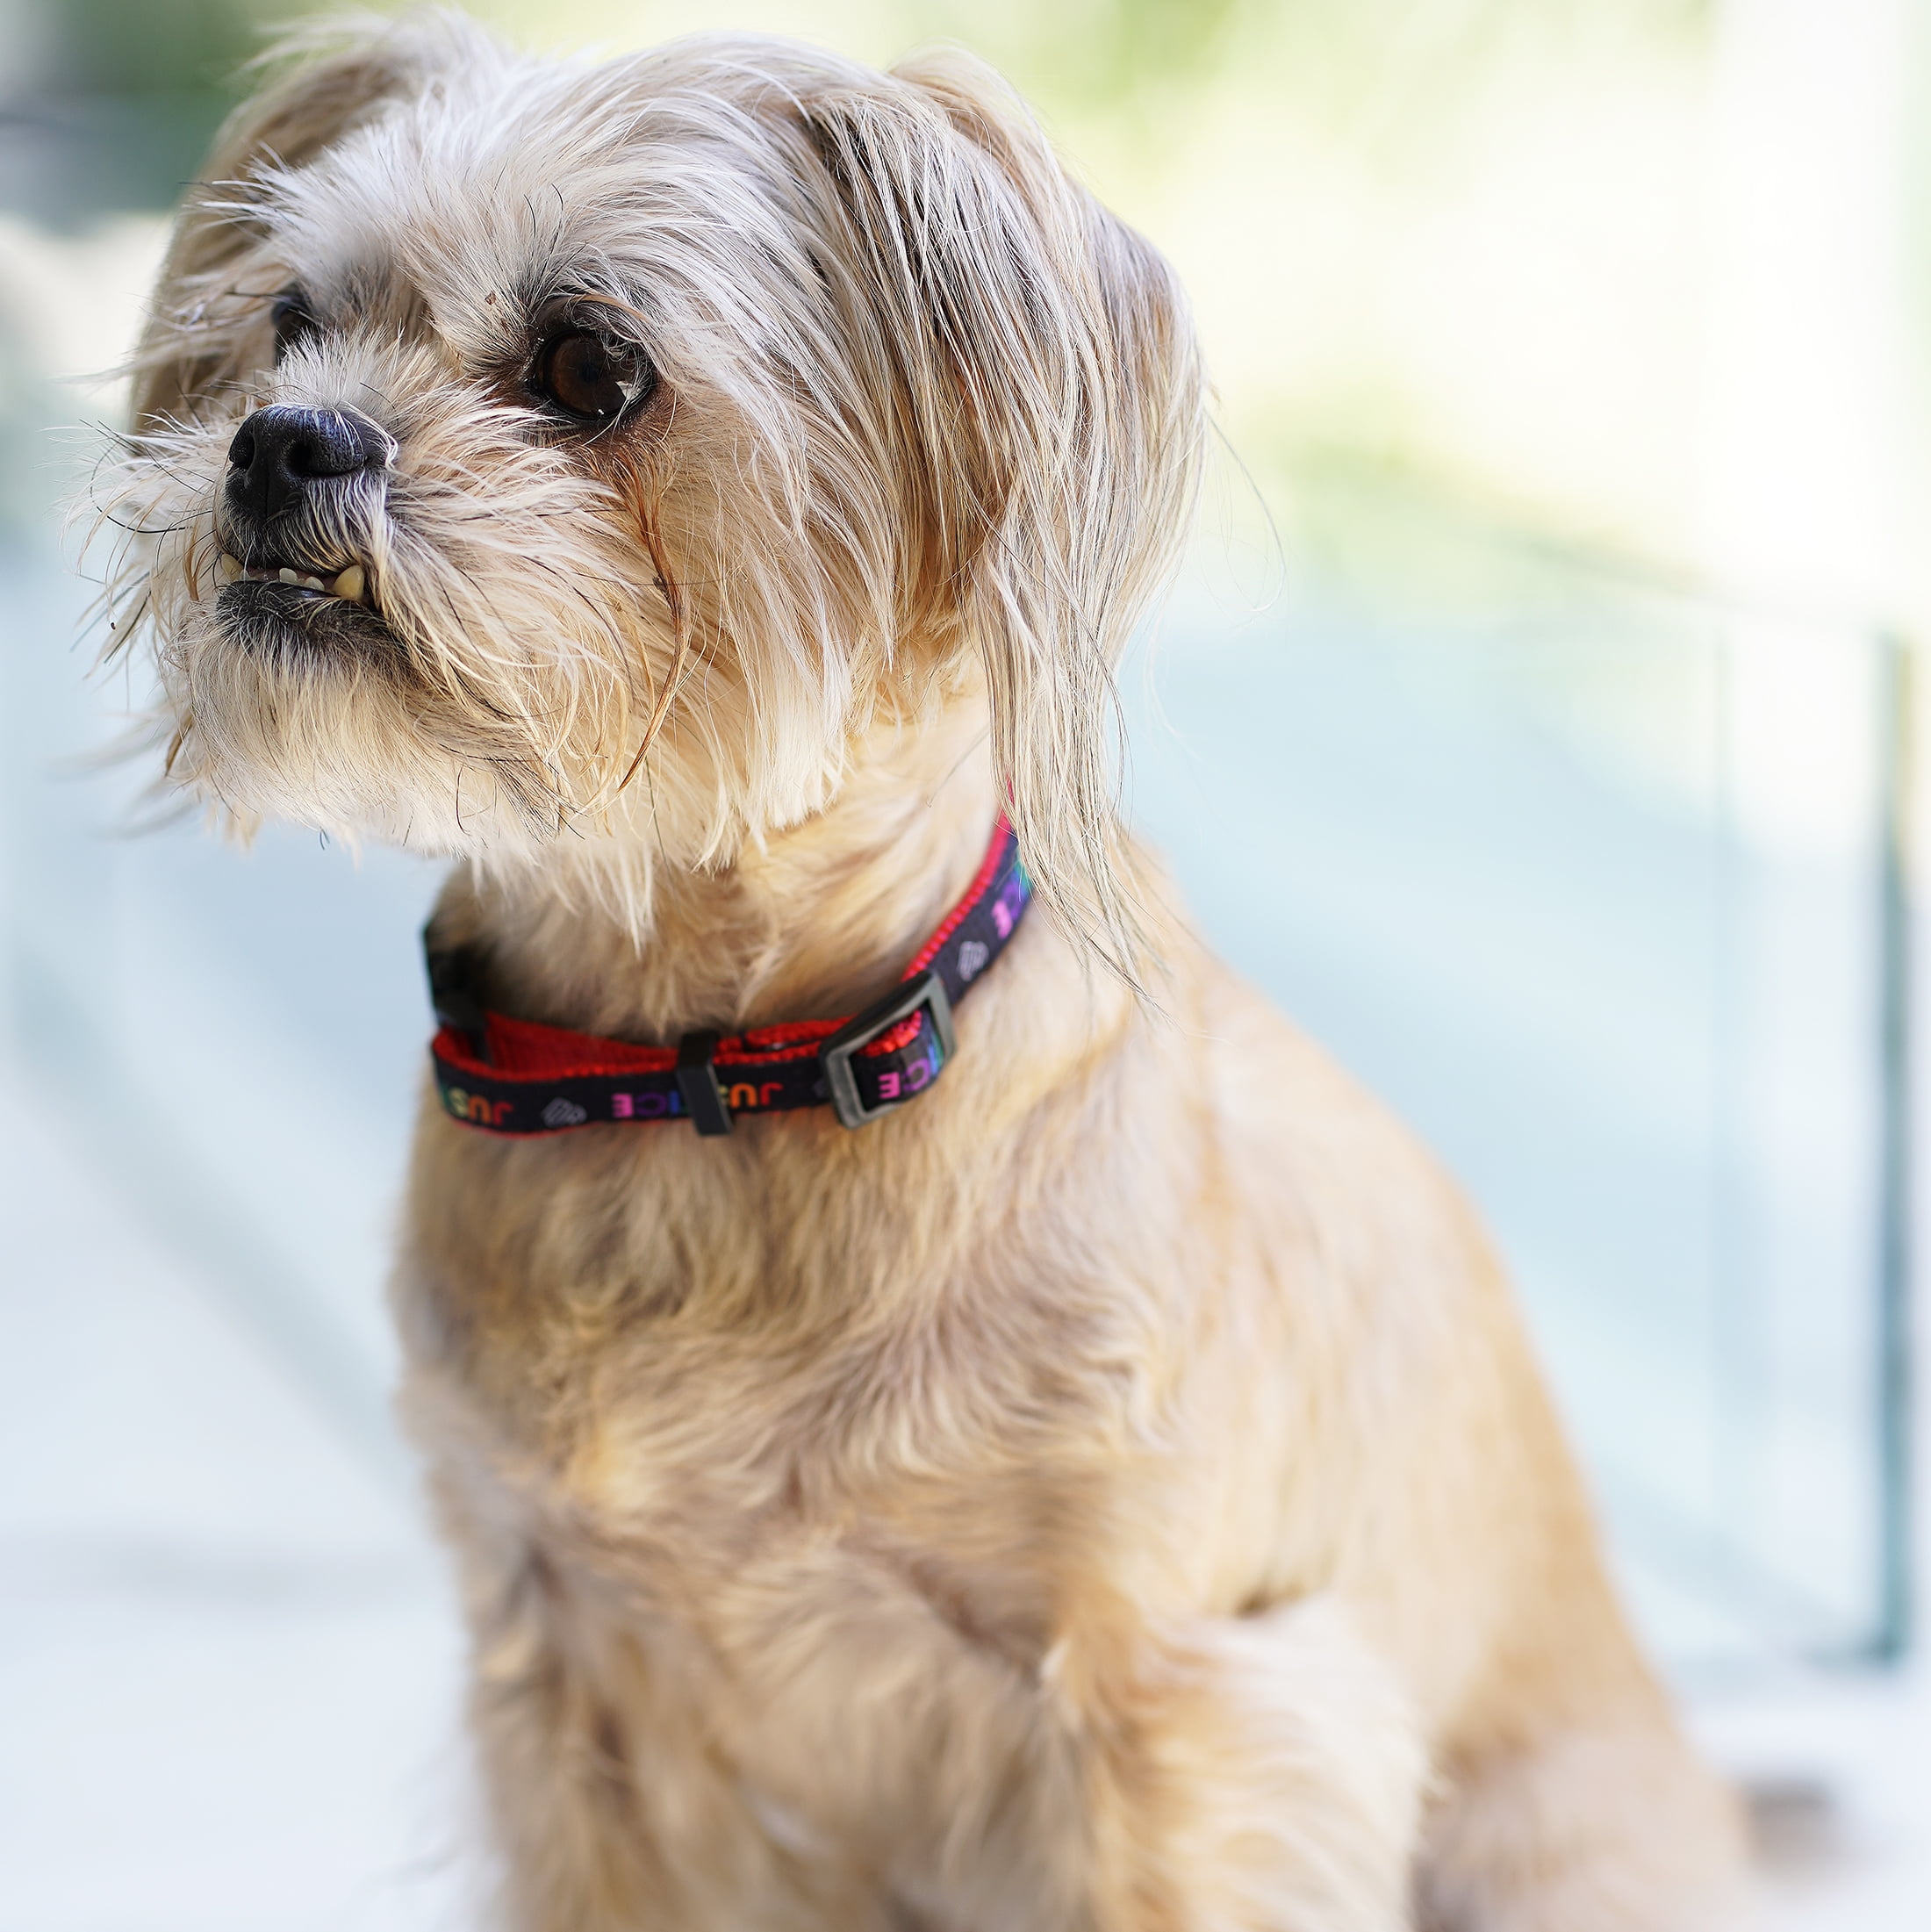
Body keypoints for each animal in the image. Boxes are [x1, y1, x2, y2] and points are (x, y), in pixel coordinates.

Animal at [94, 11, 1753, 1916]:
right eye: (291, 319)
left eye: (591, 366)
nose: (282, 438)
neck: (697, 1088)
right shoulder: (577, 1693)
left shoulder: (1177, 1721)